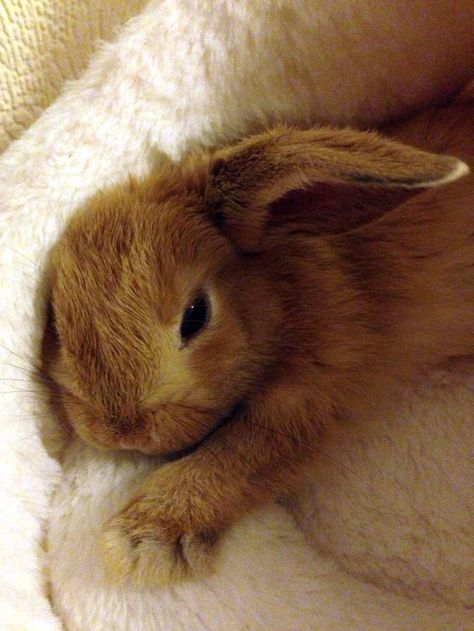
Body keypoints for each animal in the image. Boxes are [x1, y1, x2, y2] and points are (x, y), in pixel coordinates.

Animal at [42, 105, 472, 588]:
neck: (283, 294)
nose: (121, 432)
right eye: (56, 319)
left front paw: (144, 541)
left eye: (196, 315)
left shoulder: (314, 387)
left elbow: (236, 455)